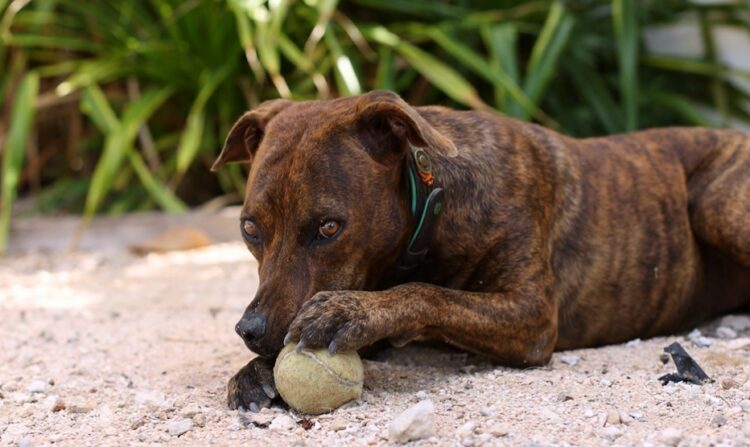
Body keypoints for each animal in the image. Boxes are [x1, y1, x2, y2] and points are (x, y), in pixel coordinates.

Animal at [212, 89, 750, 412]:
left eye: (328, 227)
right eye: (249, 229)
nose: (250, 331)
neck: (431, 204)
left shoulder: (532, 315)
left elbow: (428, 293)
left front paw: (350, 311)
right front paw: (253, 372)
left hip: (715, 205)